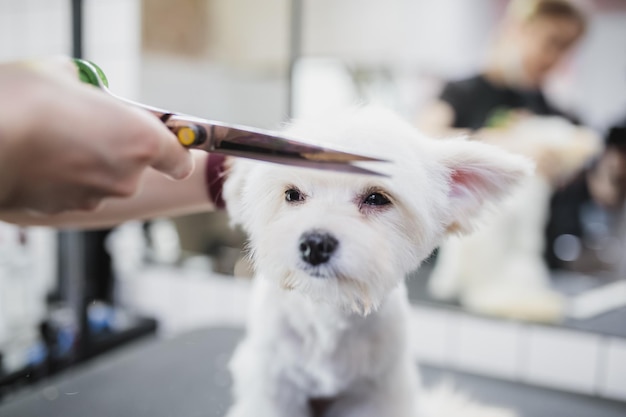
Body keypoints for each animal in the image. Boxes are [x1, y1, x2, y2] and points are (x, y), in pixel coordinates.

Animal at [222, 107, 528, 416]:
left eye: (376, 198)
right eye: (292, 194)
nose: (315, 245)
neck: (330, 312)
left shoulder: (375, 393)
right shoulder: (273, 383)